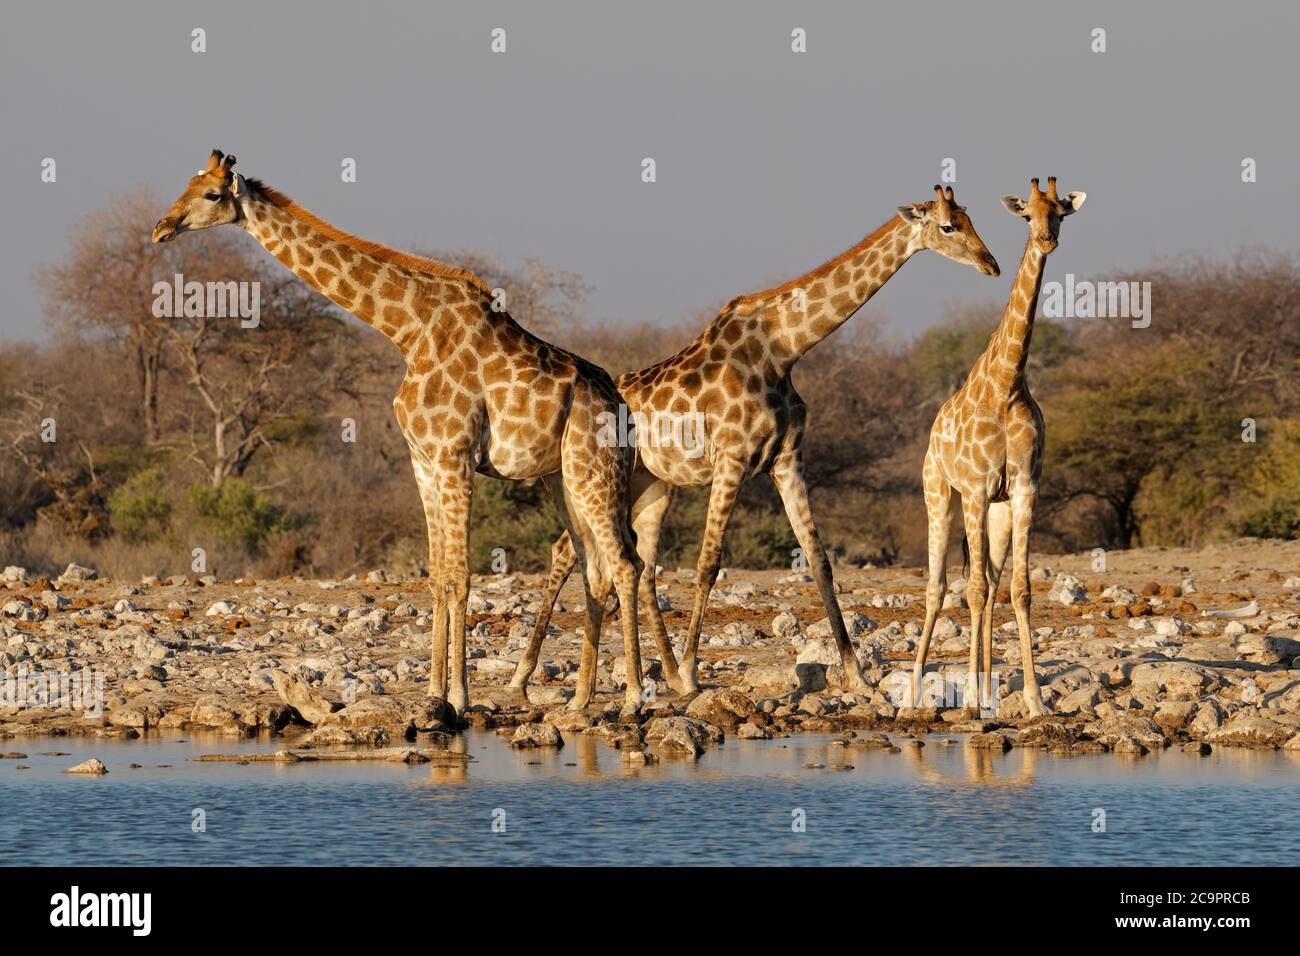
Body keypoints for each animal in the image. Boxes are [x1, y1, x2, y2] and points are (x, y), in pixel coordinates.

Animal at [152, 150, 646, 718]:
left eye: (212, 194)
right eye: (186, 184)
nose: (161, 228)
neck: (407, 330)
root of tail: (623, 409)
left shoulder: (454, 456)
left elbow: (461, 578)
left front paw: (460, 697)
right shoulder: (423, 461)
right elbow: (437, 578)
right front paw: (434, 694)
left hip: (594, 471)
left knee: (626, 563)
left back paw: (633, 700)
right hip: (563, 479)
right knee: (595, 568)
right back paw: (580, 702)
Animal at [510, 186, 1000, 701]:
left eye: (970, 219)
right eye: (948, 226)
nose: (990, 263)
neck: (782, 349)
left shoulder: (786, 460)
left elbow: (819, 561)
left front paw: (858, 676)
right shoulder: (732, 459)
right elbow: (708, 562)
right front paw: (692, 670)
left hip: (652, 486)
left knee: (632, 563)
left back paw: (657, 674)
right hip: (597, 484)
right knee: (573, 552)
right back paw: (531, 674)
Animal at [911, 176, 1086, 719]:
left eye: (1061, 213)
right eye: (1027, 214)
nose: (1047, 240)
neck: (1008, 383)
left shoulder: (1025, 488)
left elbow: (1019, 590)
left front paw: (1034, 700)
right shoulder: (973, 488)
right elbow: (970, 590)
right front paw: (969, 701)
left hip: (997, 513)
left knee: (988, 583)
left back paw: (989, 692)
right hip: (940, 496)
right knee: (939, 588)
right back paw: (914, 697)